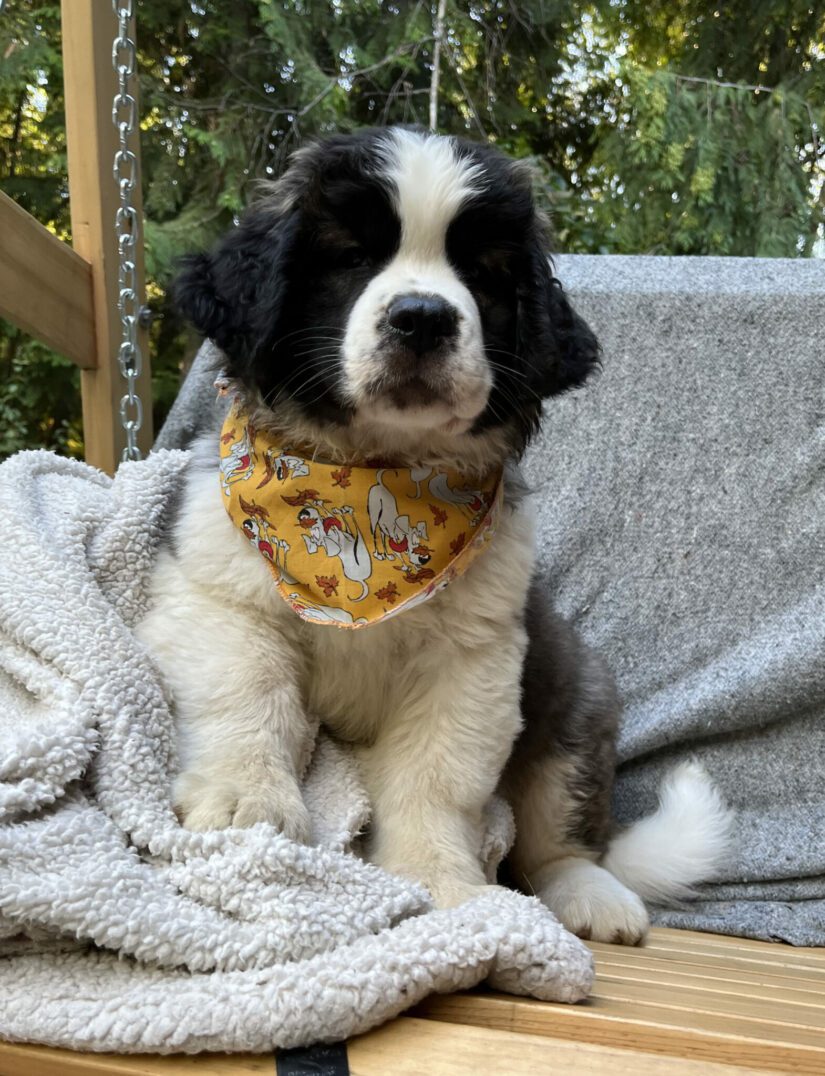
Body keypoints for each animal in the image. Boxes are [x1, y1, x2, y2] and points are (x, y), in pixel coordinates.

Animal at [139, 125, 731, 942]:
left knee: (556, 836)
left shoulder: (472, 660)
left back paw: (589, 894)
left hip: (574, 699)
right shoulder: (217, 596)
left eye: (479, 274)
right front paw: (246, 802)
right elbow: (247, 693)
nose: (422, 316)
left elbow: (433, 778)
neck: (374, 480)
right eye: (351, 257)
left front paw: (439, 884)